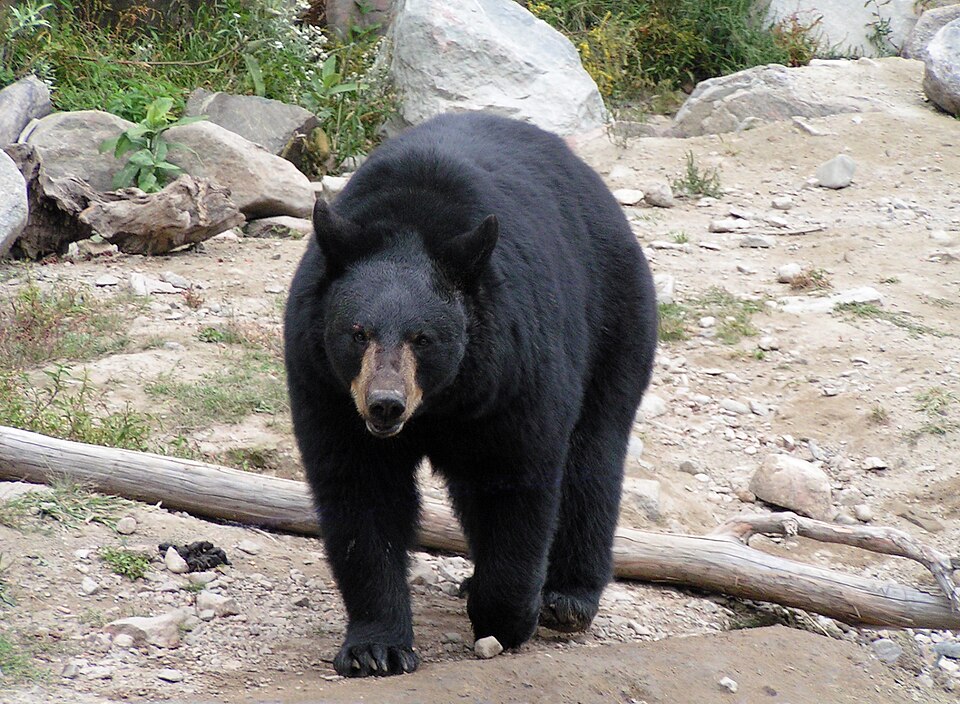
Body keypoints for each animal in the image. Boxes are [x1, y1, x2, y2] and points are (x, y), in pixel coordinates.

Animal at [283, 112, 658, 678]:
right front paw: (376, 647)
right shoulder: (325, 386)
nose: (385, 404)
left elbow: (515, 482)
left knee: (593, 456)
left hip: (615, 318)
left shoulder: (513, 374)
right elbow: (359, 493)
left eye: (423, 338)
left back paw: (567, 596)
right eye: (357, 332)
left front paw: (508, 616)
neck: (441, 401)